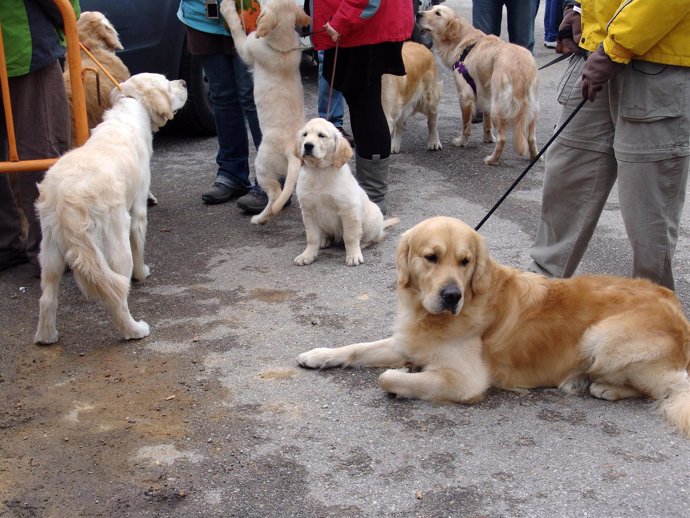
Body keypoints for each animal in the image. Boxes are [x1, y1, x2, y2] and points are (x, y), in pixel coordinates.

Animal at [220, 0, 310, 225]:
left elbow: (236, 30)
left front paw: (227, 9)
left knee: (275, 194)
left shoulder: (247, 48)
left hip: (262, 165)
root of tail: (292, 150)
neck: (283, 45)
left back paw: (260, 218)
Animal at [298, 217, 688, 440]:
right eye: (431, 257)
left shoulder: (465, 380)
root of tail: (677, 309)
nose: (452, 295)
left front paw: (404, 376)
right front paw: (318, 355)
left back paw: (604, 387)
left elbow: (386, 377)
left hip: (601, 337)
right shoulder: (407, 340)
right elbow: (356, 348)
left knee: (667, 388)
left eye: (465, 261)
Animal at [420, 5, 536, 166]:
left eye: (438, 13)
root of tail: (520, 64)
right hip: (531, 109)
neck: (463, 41)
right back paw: (535, 157)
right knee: (531, 138)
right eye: (430, 9)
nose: (418, 14)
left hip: (499, 107)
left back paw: (492, 160)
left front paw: (462, 142)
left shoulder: (465, 95)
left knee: (503, 139)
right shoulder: (485, 93)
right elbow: (486, 121)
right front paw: (488, 138)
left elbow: (466, 125)